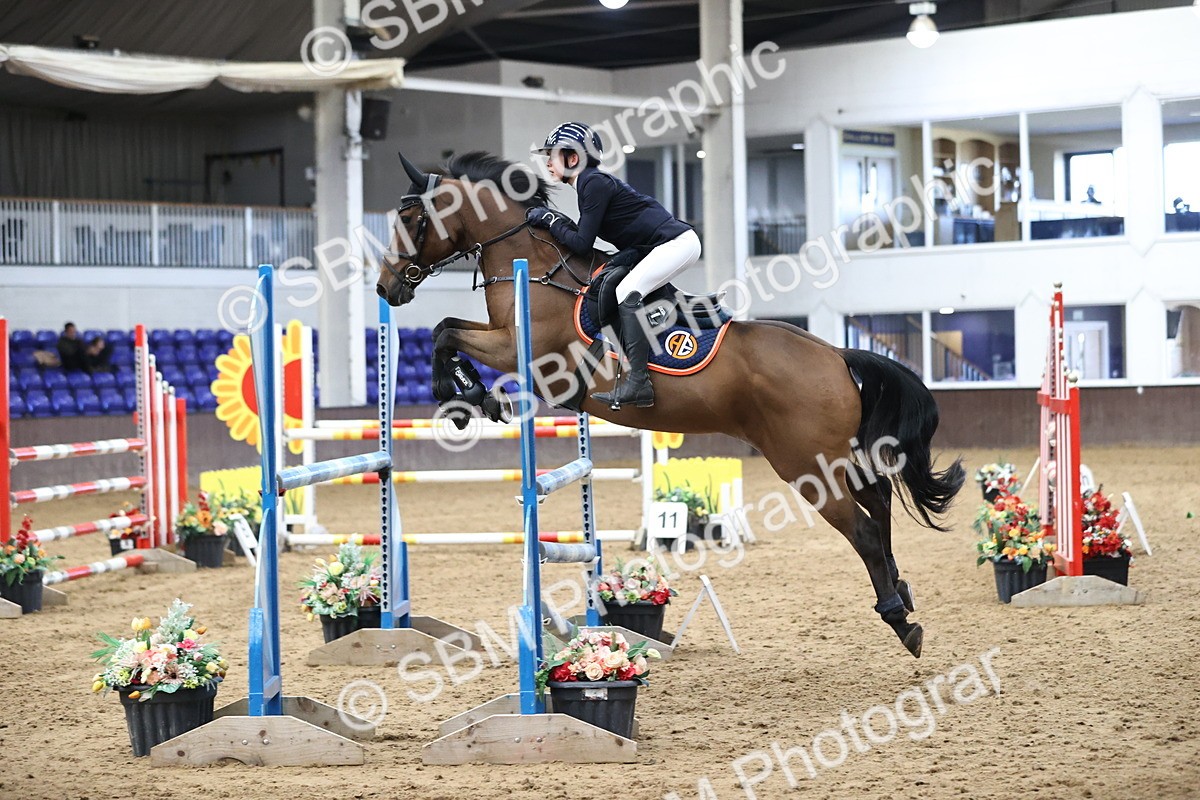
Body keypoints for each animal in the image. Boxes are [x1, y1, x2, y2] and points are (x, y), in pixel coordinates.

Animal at [376, 150, 965, 658]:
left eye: (410, 217)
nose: (386, 288)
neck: (537, 268)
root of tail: (837, 356)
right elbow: (446, 328)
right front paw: (468, 394)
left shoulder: (534, 360)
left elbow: (445, 332)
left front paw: (461, 394)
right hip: (839, 458)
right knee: (881, 506)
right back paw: (903, 592)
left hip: (806, 465)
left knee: (863, 527)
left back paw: (898, 618)